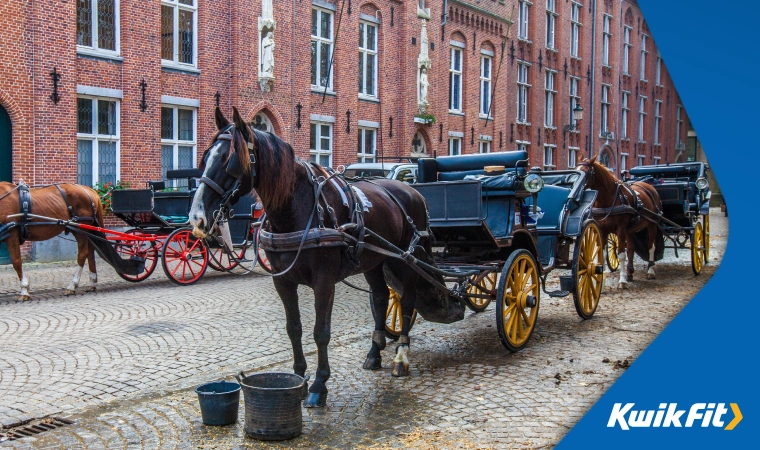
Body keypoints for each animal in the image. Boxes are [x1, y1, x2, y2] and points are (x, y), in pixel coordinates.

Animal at [189, 109, 464, 408]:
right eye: (205, 157)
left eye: (230, 162)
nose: (197, 217)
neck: (298, 210)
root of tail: (413, 191)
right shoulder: (283, 281)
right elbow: (294, 328)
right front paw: (299, 378)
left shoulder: (324, 281)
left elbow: (321, 331)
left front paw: (319, 385)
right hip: (374, 262)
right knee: (381, 298)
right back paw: (374, 352)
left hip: (406, 260)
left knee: (407, 302)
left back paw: (401, 357)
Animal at [580, 156, 664, 286]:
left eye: (587, 173)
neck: (607, 200)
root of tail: (649, 186)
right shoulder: (603, 230)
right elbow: (603, 255)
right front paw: (602, 281)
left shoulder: (621, 229)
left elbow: (621, 255)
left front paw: (622, 281)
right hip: (630, 230)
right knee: (631, 248)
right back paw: (630, 273)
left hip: (652, 224)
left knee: (651, 247)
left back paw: (650, 271)